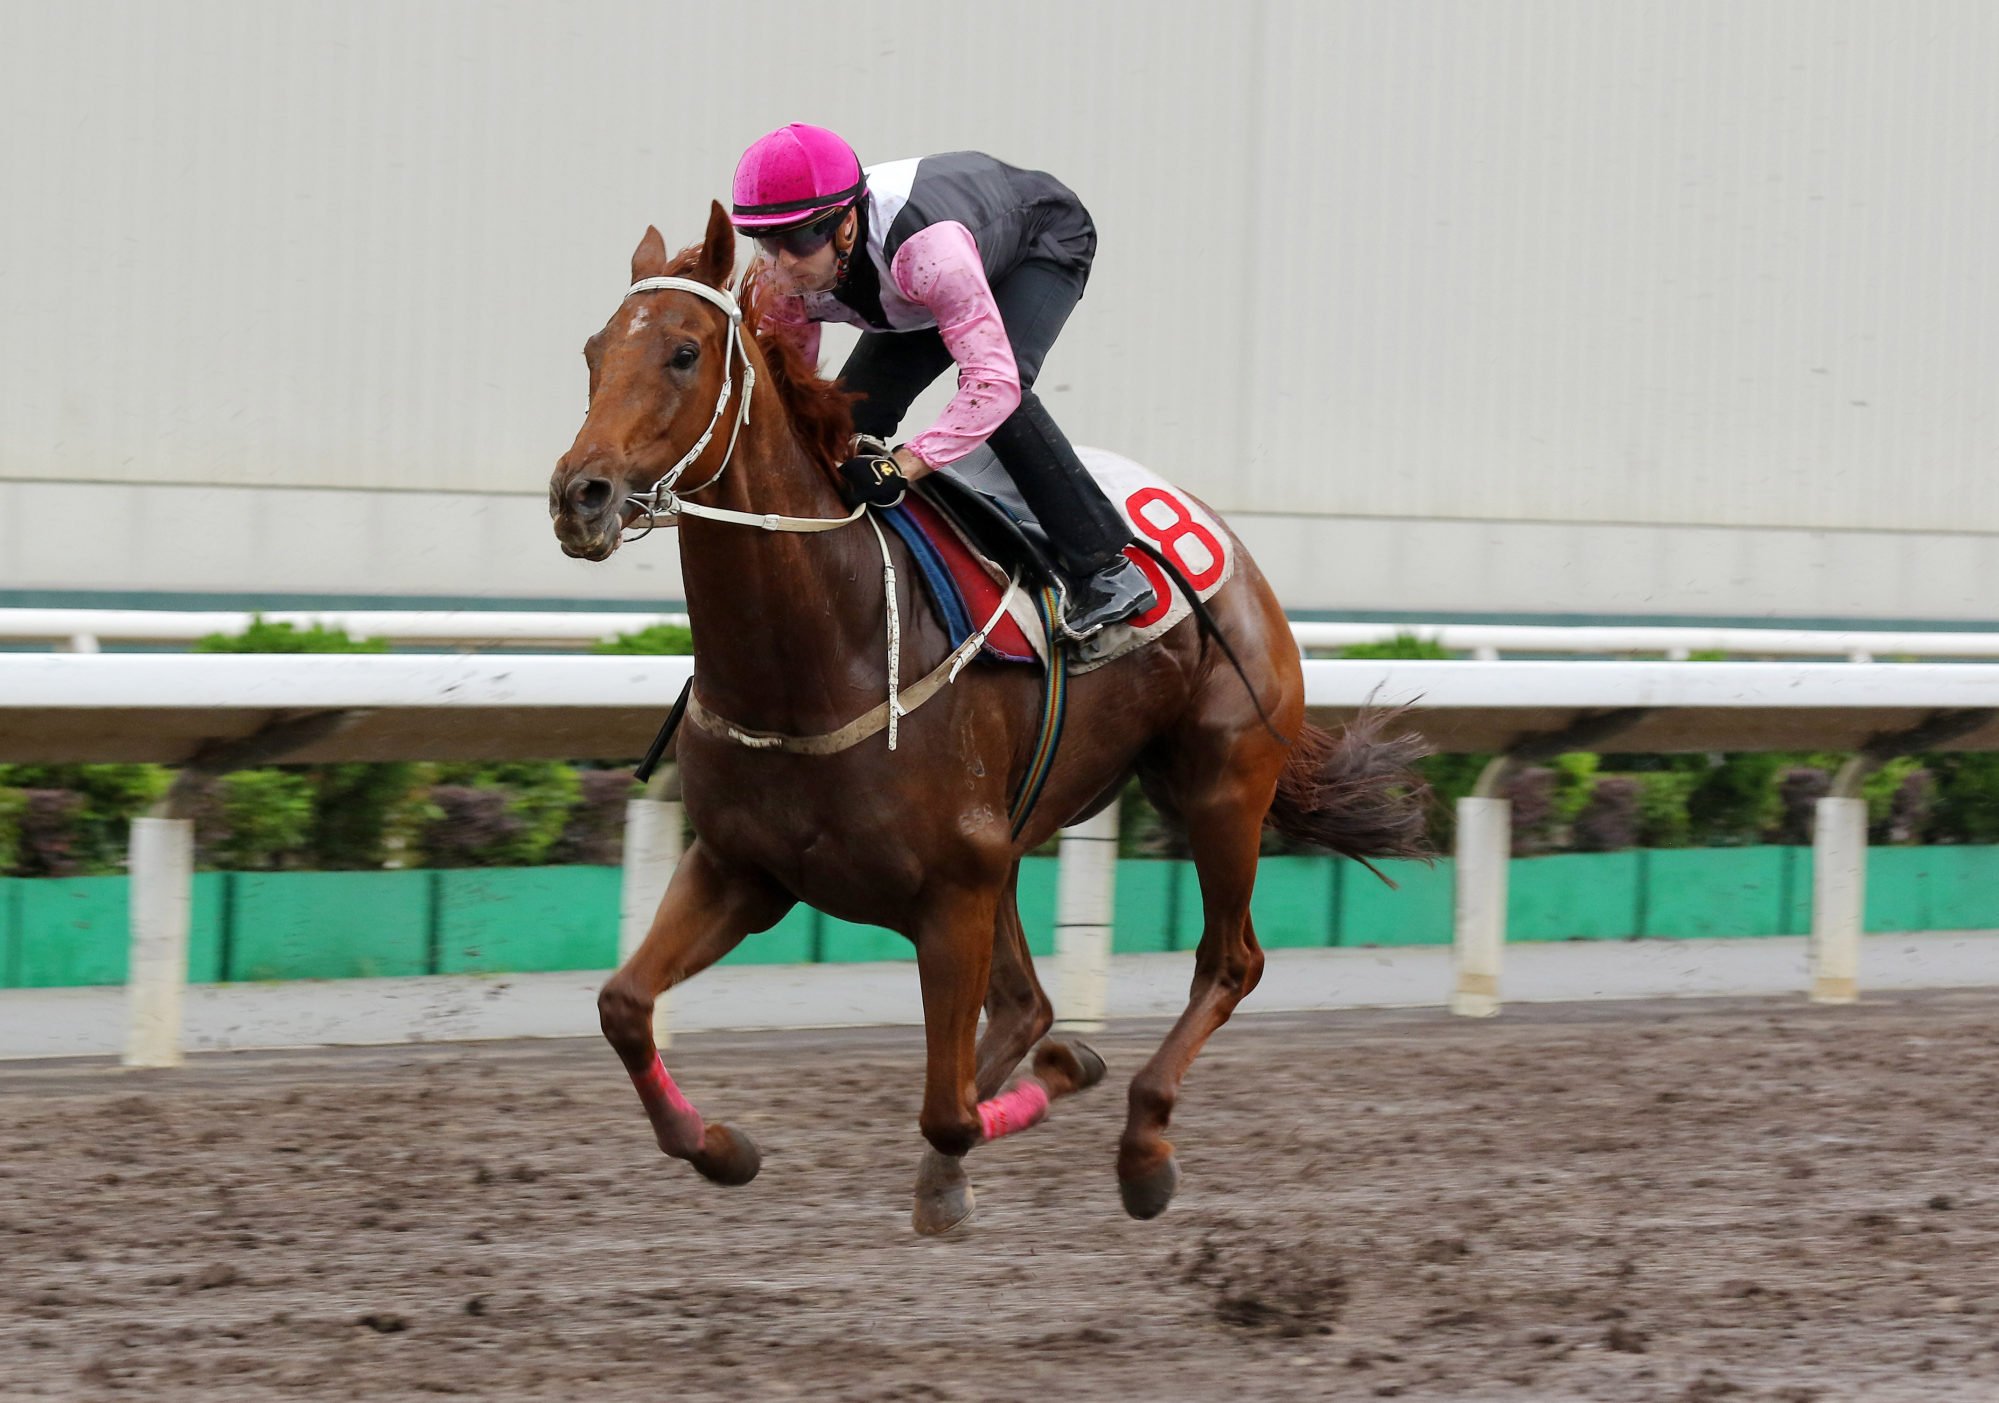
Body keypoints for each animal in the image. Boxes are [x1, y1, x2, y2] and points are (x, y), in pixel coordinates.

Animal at [547, 203, 1423, 1239]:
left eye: (683, 353)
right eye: (593, 351)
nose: (579, 496)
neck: (818, 652)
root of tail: (1231, 545)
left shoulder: (950, 889)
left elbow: (951, 1110)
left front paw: (1030, 1111)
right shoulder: (742, 867)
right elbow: (621, 1005)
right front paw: (720, 1145)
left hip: (1219, 786)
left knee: (1228, 961)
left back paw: (1143, 1144)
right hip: (1016, 840)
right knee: (1028, 1004)